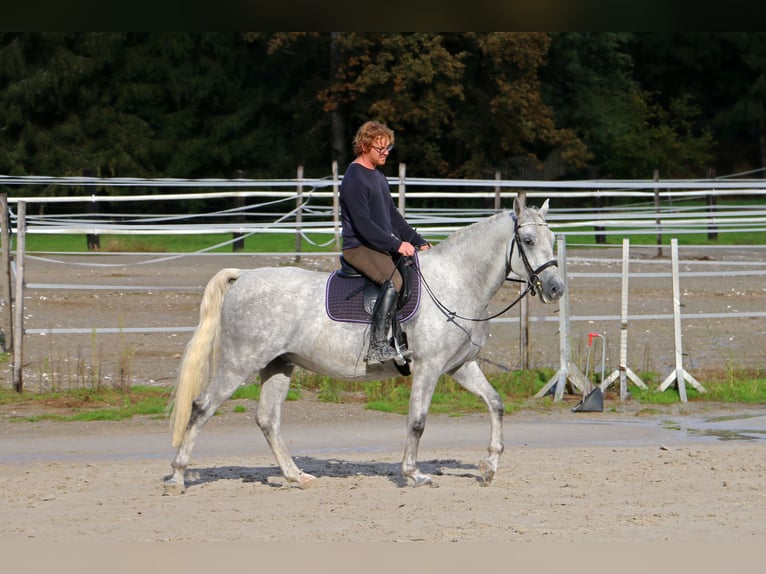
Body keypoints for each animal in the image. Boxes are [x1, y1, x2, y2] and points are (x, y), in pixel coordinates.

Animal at [166, 198, 564, 496]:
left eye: (551, 238)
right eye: (528, 241)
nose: (556, 288)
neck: (456, 282)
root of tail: (244, 277)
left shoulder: (460, 367)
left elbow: (496, 404)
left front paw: (489, 467)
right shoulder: (429, 367)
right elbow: (417, 421)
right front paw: (413, 474)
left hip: (279, 365)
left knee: (267, 420)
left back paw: (296, 476)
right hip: (239, 363)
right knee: (201, 408)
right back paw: (179, 476)